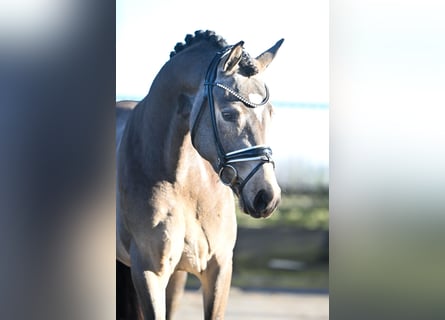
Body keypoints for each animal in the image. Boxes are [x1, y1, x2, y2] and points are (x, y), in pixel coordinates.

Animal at [117, 29, 284, 318]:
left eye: (270, 114)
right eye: (228, 114)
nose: (266, 196)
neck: (182, 183)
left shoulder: (218, 268)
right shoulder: (149, 274)